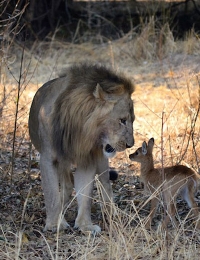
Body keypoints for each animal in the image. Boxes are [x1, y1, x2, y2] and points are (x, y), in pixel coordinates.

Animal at [28, 64, 134, 235]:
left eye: (133, 120)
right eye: (122, 120)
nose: (130, 144)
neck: (79, 129)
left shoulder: (87, 159)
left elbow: (85, 193)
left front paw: (85, 225)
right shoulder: (47, 158)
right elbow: (51, 192)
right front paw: (54, 224)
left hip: (101, 160)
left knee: (105, 183)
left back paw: (113, 214)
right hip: (62, 162)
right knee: (66, 185)